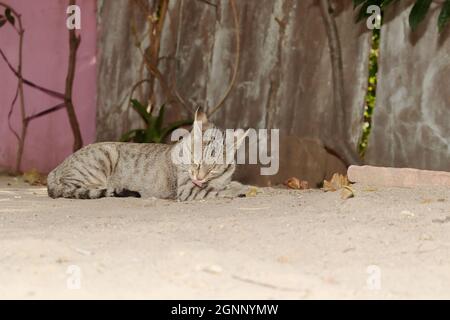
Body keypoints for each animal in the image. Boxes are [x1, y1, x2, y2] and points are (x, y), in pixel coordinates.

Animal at [47, 112, 250, 200]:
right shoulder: (188, 190)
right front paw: (239, 190)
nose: (199, 178)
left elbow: (226, 184)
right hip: (102, 158)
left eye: (213, 168)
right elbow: (216, 191)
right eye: (195, 162)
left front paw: (239, 185)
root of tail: (53, 171)